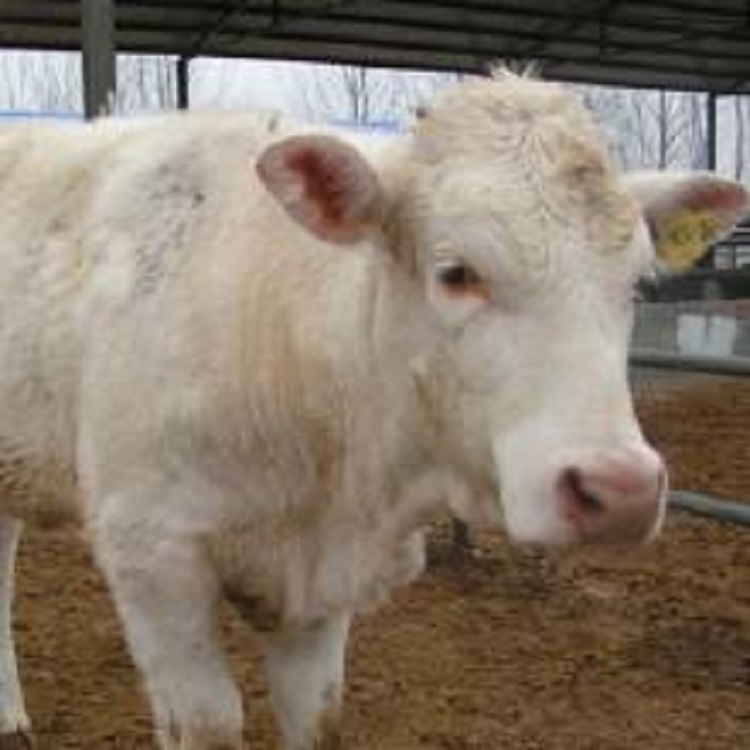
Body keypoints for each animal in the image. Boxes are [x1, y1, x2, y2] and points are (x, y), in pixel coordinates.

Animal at [0, 72, 748, 750]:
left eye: (639, 283)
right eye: (456, 272)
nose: (620, 491)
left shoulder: (321, 598)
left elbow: (318, 721)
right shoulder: (152, 557)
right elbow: (211, 725)